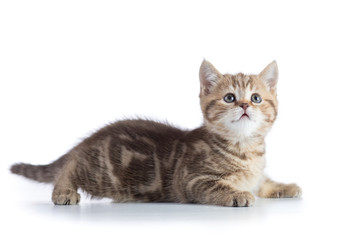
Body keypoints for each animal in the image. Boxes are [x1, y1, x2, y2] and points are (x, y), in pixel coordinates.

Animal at [9, 59, 300, 206]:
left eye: (256, 98)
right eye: (229, 97)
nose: (244, 105)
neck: (245, 148)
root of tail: (87, 142)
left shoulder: (257, 174)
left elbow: (263, 182)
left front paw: (286, 186)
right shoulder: (192, 179)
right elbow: (218, 186)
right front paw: (237, 194)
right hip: (102, 174)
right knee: (68, 169)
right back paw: (63, 192)